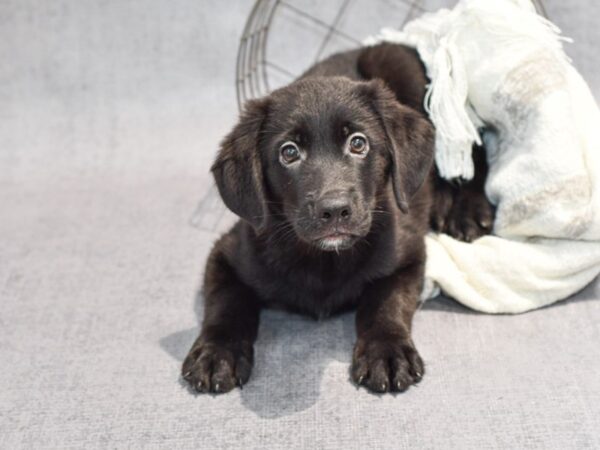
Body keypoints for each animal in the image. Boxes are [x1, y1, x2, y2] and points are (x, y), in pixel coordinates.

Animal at [185, 43, 494, 394]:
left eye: (358, 143)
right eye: (288, 152)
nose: (334, 210)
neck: (323, 260)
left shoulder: (409, 254)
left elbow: (387, 301)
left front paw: (387, 351)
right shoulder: (226, 252)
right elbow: (225, 302)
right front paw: (217, 353)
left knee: (473, 151)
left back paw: (465, 209)